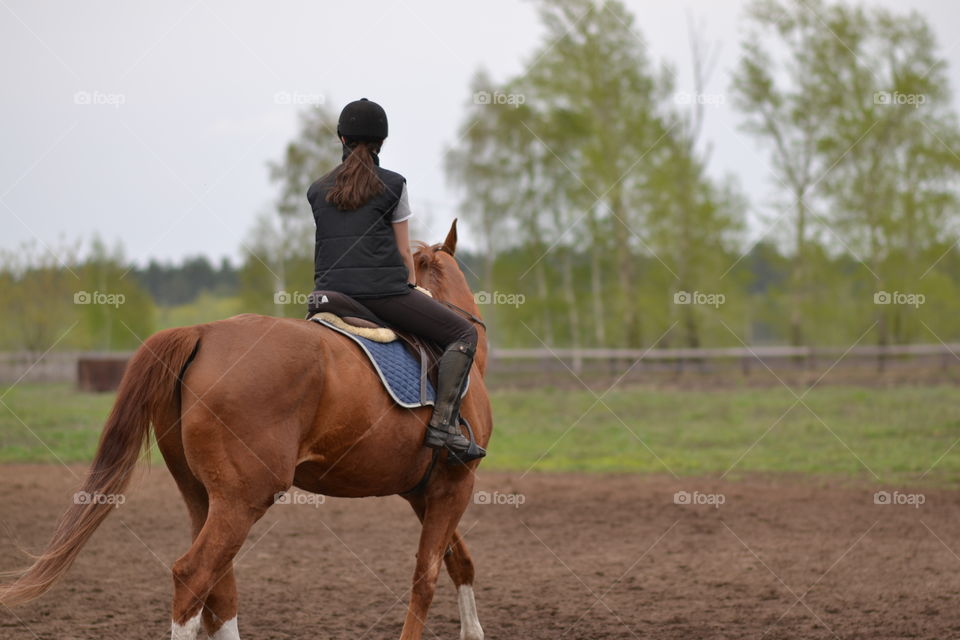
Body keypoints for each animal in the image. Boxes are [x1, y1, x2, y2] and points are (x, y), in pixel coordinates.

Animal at [0, 220, 491, 640]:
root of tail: (202, 332)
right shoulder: (456, 484)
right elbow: (426, 577)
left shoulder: (423, 491)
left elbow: (460, 563)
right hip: (243, 499)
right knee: (194, 576)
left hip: (203, 495)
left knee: (220, 588)